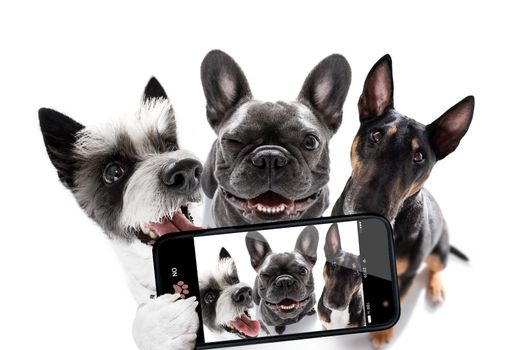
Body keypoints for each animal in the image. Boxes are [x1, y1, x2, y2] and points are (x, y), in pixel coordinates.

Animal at [334, 55, 472, 348]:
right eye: (376, 136)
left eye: (418, 157)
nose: (366, 210)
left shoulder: (405, 276)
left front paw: (382, 333)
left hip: (437, 253)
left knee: (435, 268)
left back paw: (436, 288)